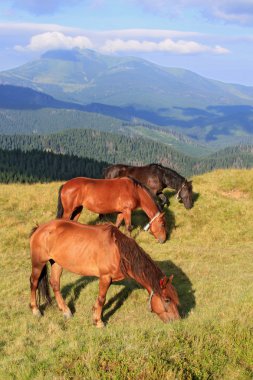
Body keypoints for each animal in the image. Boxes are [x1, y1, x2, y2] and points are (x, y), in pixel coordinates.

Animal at [29, 220, 180, 326]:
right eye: (167, 300)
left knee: (55, 284)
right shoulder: (105, 277)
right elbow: (102, 298)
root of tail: (39, 228)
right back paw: (35, 311)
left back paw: (66, 311)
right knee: (34, 283)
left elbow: (100, 299)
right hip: (38, 263)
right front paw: (99, 321)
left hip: (57, 263)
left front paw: (94, 313)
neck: (118, 250)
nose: (177, 321)